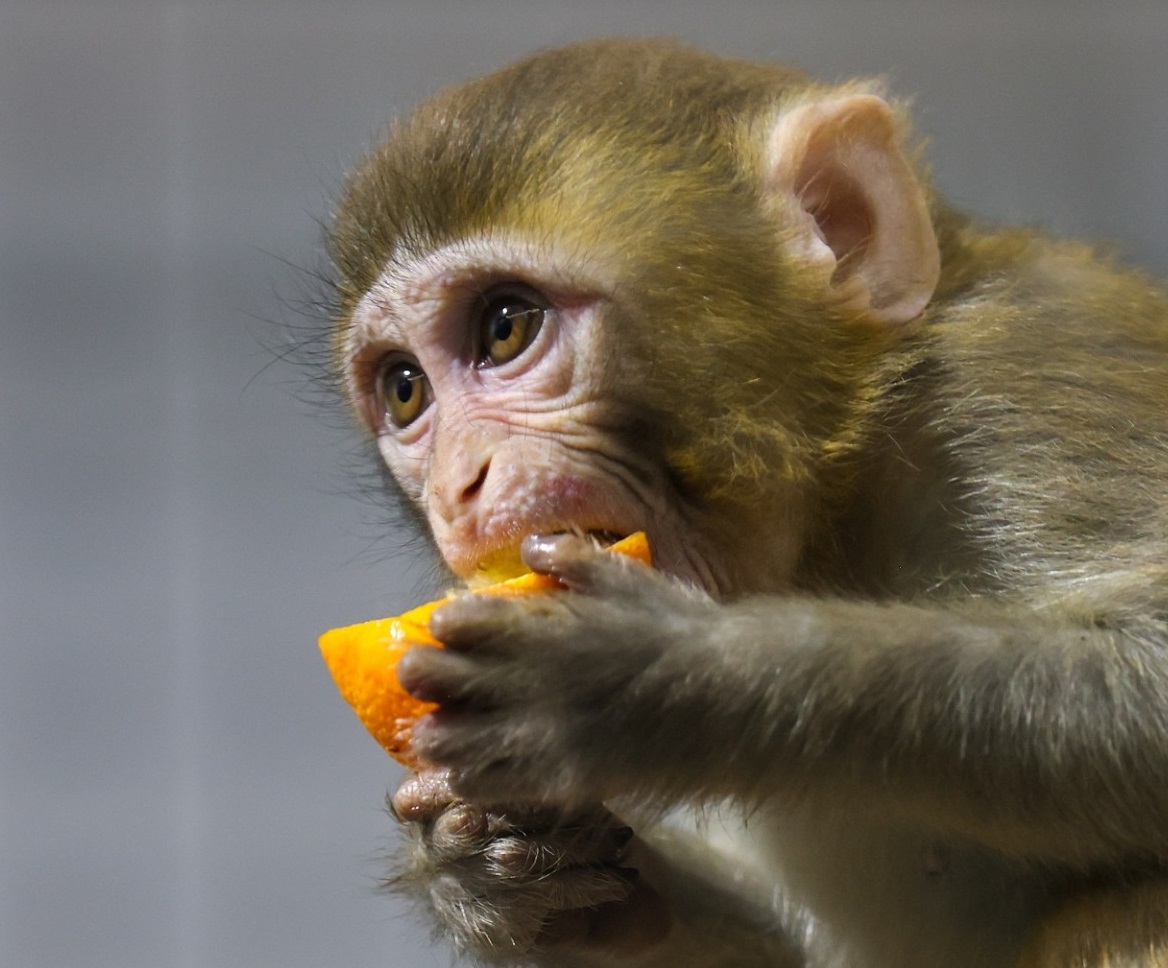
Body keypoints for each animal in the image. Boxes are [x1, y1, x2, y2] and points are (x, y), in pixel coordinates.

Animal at [324, 35, 1168, 966]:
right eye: (406, 389)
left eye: (506, 326)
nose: (456, 485)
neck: (837, 511)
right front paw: (493, 867)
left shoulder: (1027, 379)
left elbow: (1154, 675)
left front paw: (658, 678)